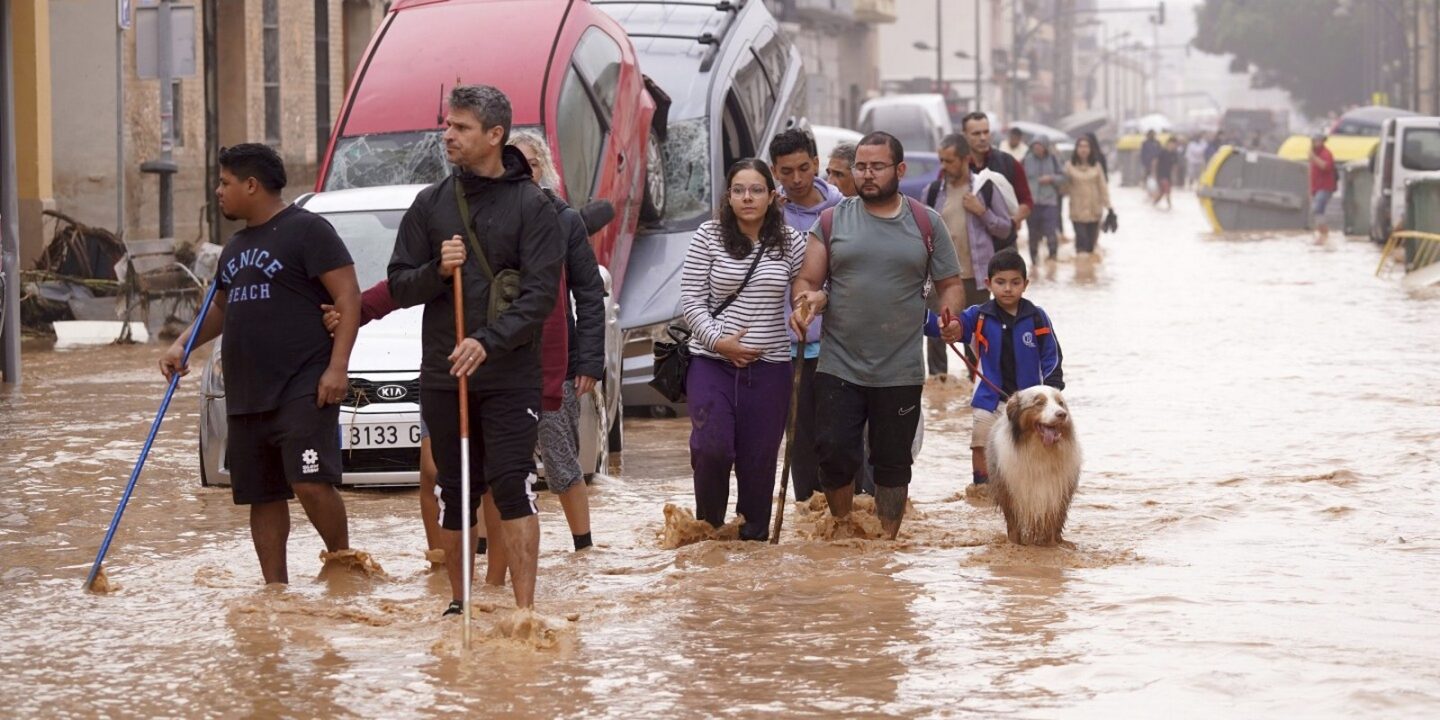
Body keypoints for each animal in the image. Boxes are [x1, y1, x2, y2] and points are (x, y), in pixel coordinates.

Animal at [990, 388, 1082, 544]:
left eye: (1060, 403)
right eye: (1039, 403)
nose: (1062, 414)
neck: (1041, 450)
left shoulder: (1057, 495)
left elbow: (1053, 525)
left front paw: (1053, 545)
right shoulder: (1009, 492)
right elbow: (1013, 525)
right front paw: (1015, 543)